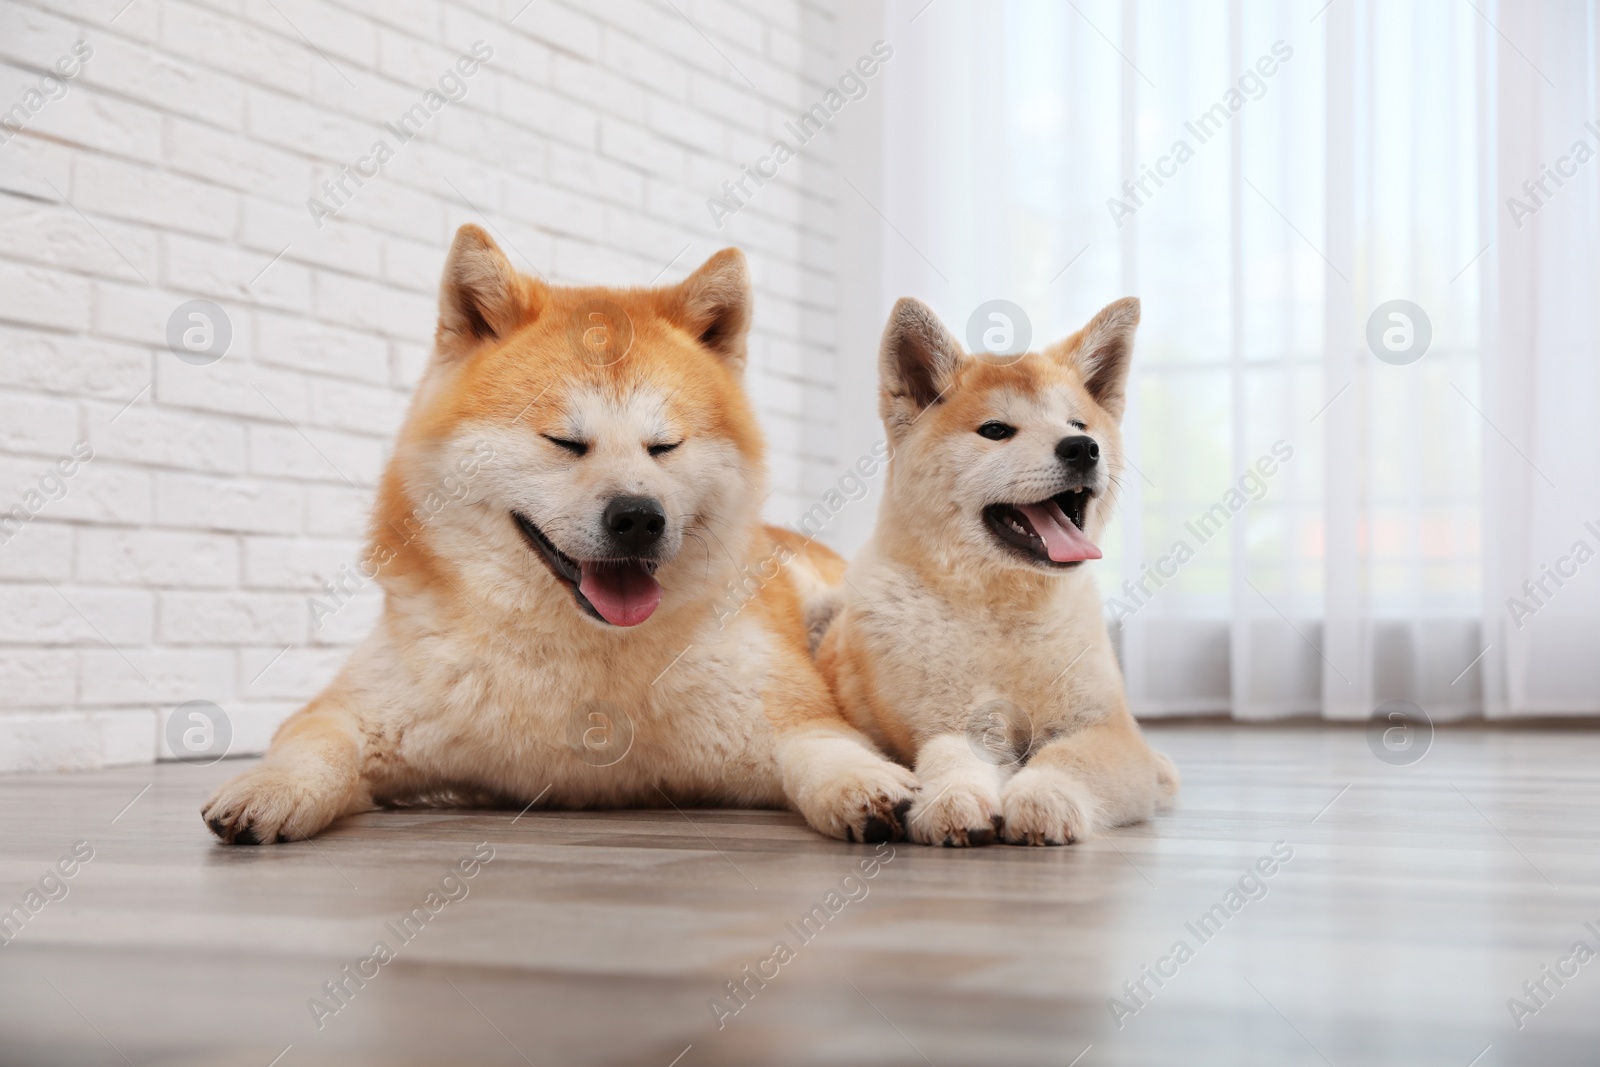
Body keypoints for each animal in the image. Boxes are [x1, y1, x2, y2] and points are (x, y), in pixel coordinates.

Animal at [203, 230, 915, 844]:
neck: (583, 652)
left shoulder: (787, 712)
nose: (639, 516)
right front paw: (267, 787)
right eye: (565, 442)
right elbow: (314, 744)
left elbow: (825, 746)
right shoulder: (352, 711)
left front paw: (867, 783)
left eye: (664, 446)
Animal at [825, 295, 1177, 844]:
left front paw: (1043, 797)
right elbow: (951, 756)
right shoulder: (953, 720)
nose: (1082, 449)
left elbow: (1071, 759)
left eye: (1079, 426)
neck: (1007, 615)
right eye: (995, 431)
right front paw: (954, 799)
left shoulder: (1106, 730)